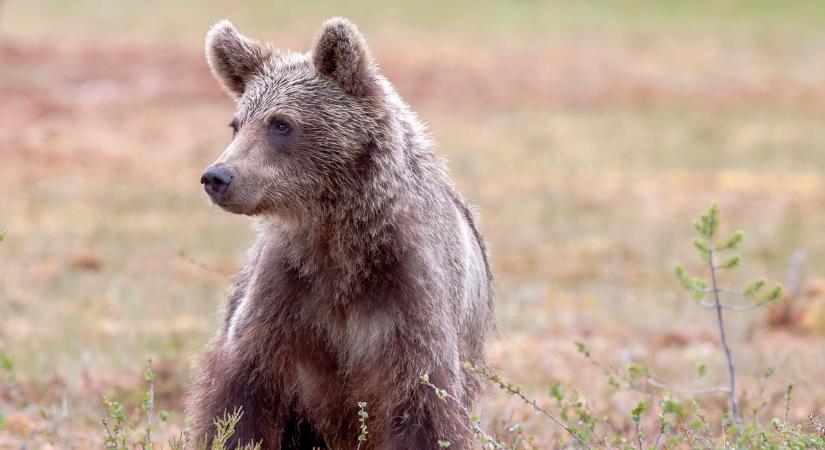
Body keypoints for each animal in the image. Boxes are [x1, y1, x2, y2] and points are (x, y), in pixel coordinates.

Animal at [188, 17, 490, 450]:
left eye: (281, 123)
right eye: (236, 124)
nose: (217, 177)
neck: (340, 239)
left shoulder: (410, 296)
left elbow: (423, 405)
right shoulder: (286, 293)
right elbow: (241, 394)